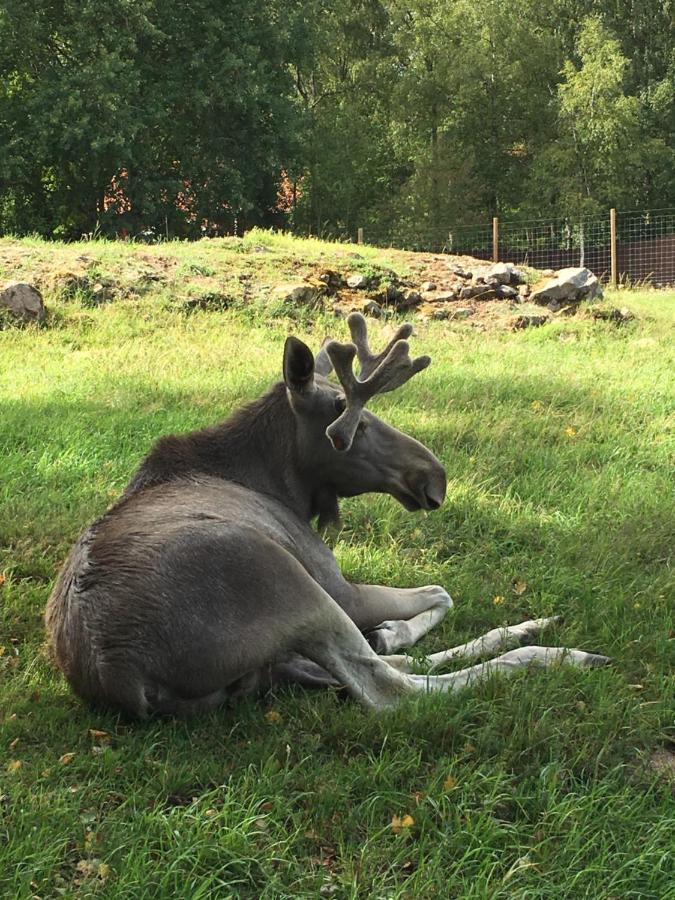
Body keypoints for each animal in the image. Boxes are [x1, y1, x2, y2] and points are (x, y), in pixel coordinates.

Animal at [47, 312, 608, 720]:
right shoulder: (336, 582)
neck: (283, 484)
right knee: (393, 688)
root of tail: (127, 678)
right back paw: (556, 656)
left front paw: (392, 629)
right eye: (351, 420)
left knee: (385, 666)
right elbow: (440, 591)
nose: (435, 475)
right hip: (294, 588)